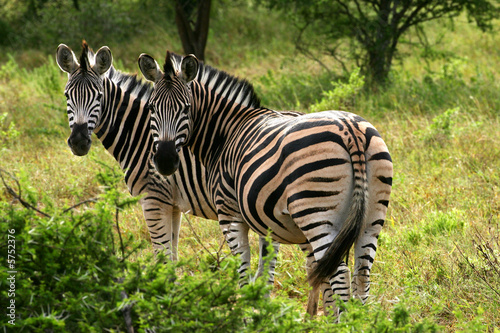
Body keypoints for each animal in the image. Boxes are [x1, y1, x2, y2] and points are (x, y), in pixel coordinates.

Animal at [54, 40, 284, 288]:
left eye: (98, 96)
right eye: (67, 95)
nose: (78, 142)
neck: (141, 134)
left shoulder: (154, 199)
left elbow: (162, 258)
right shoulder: (172, 204)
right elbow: (172, 257)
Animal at [138, 50, 394, 316]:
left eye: (186, 108)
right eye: (151, 107)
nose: (165, 160)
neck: (226, 133)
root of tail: (350, 131)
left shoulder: (229, 214)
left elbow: (243, 270)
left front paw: (243, 314)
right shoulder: (267, 223)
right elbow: (263, 273)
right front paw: (259, 312)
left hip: (316, 213)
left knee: (339, 273)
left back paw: (343, 322)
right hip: (372, 215)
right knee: (361, 274)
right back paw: (358, 320)